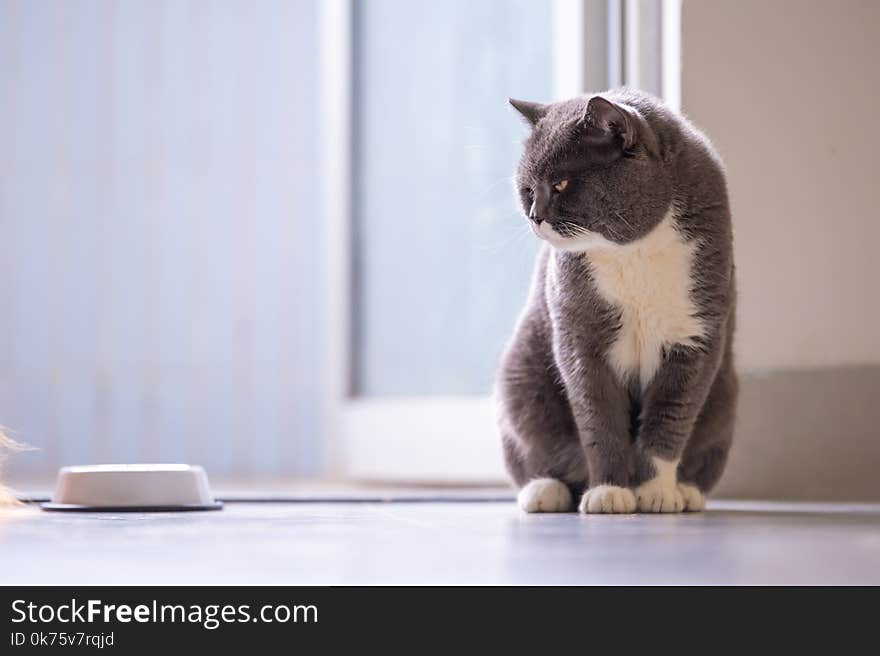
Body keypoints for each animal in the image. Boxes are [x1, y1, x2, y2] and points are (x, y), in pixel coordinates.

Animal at [496, 89, 736, 516]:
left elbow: (670, 416)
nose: (535, 216)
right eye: (527, 189)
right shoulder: (579, 336)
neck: (630, 252)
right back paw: (545, 489)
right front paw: (608, 491)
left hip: (724, 399)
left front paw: (657, 491)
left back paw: (688, 491)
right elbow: (598, 417)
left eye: (561, 183)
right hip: (520, 380)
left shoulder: (695, 335)